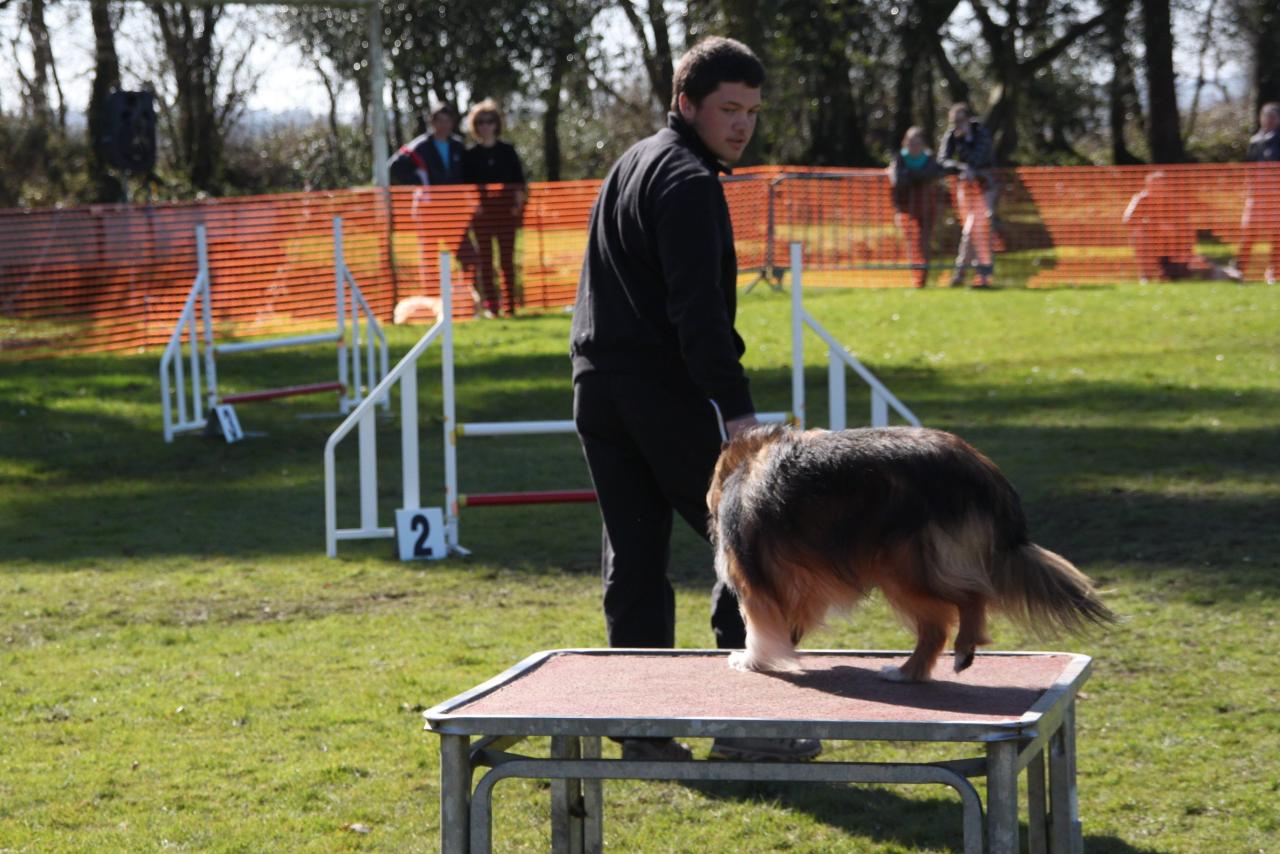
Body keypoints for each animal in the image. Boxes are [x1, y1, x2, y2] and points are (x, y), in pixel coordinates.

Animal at [707, 424, 1114, 682]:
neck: (747, 460)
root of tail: (981, 471)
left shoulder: (755, 586)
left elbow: (757, 627)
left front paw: (752, 659)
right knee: (940, 624)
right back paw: (911, 672)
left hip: (903, 566)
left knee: (966, 600)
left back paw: (954, 651)